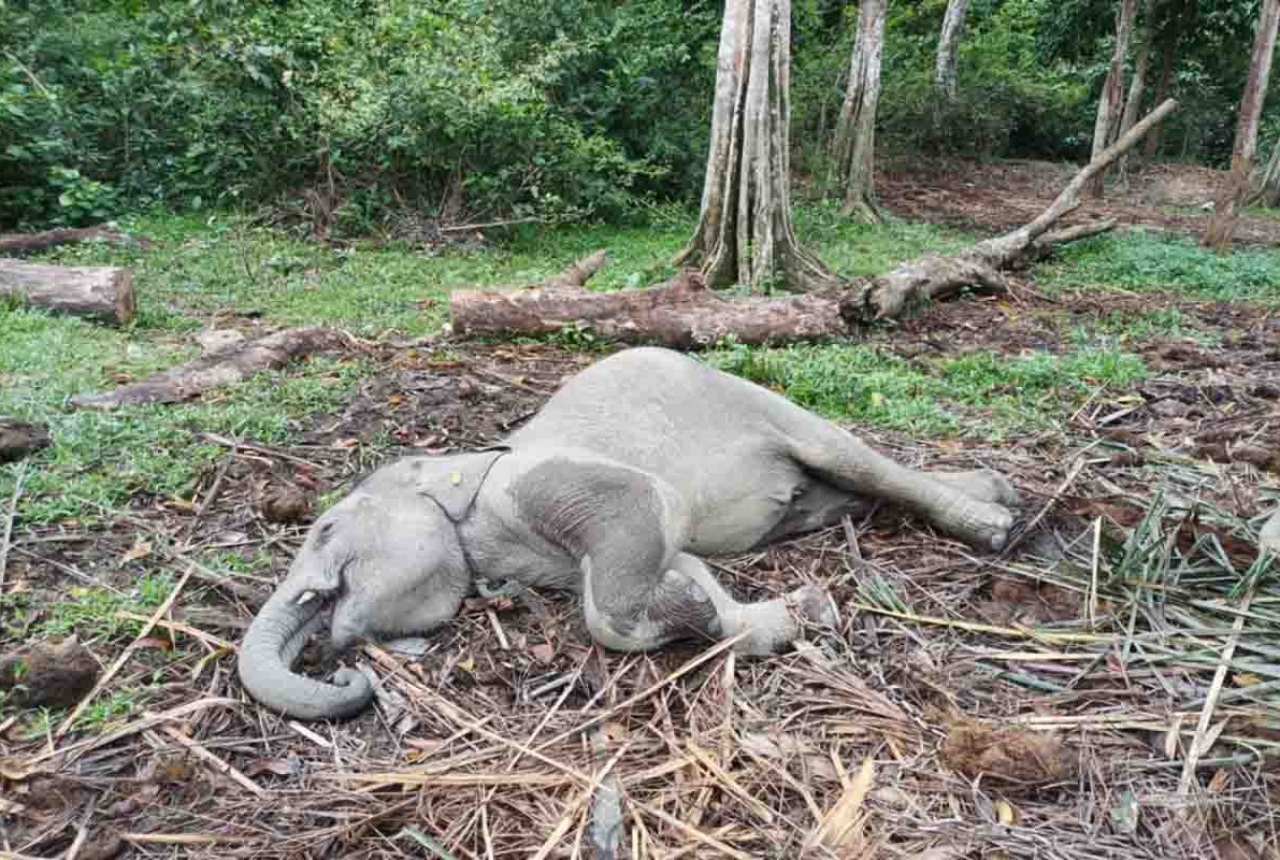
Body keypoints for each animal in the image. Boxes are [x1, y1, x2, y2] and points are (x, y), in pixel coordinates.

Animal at [240, 345, 1018, 716]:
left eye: (327, 529)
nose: (344, 668)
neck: (464, 463)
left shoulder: (555, 481)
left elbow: (642, 526)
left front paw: (702, 609)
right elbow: (680, 563)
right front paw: (775, 611)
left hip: (763, 403)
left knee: (857, 460)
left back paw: (997, 525)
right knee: (846, 494)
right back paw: (993, 493)